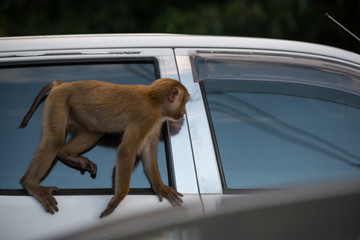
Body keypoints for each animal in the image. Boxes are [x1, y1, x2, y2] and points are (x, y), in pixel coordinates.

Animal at [19, 78, 191, 218]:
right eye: (183, 102)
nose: (183, 113)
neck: (154, 99)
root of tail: (63, 84)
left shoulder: (155, 121)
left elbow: (148, 149)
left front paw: (160, 188)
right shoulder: (146, 116)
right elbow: (127, 151)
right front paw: (117, 199)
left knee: (94, 132)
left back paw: (67, 155)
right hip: (59, 101)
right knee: (54, 141)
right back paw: (30, 184)